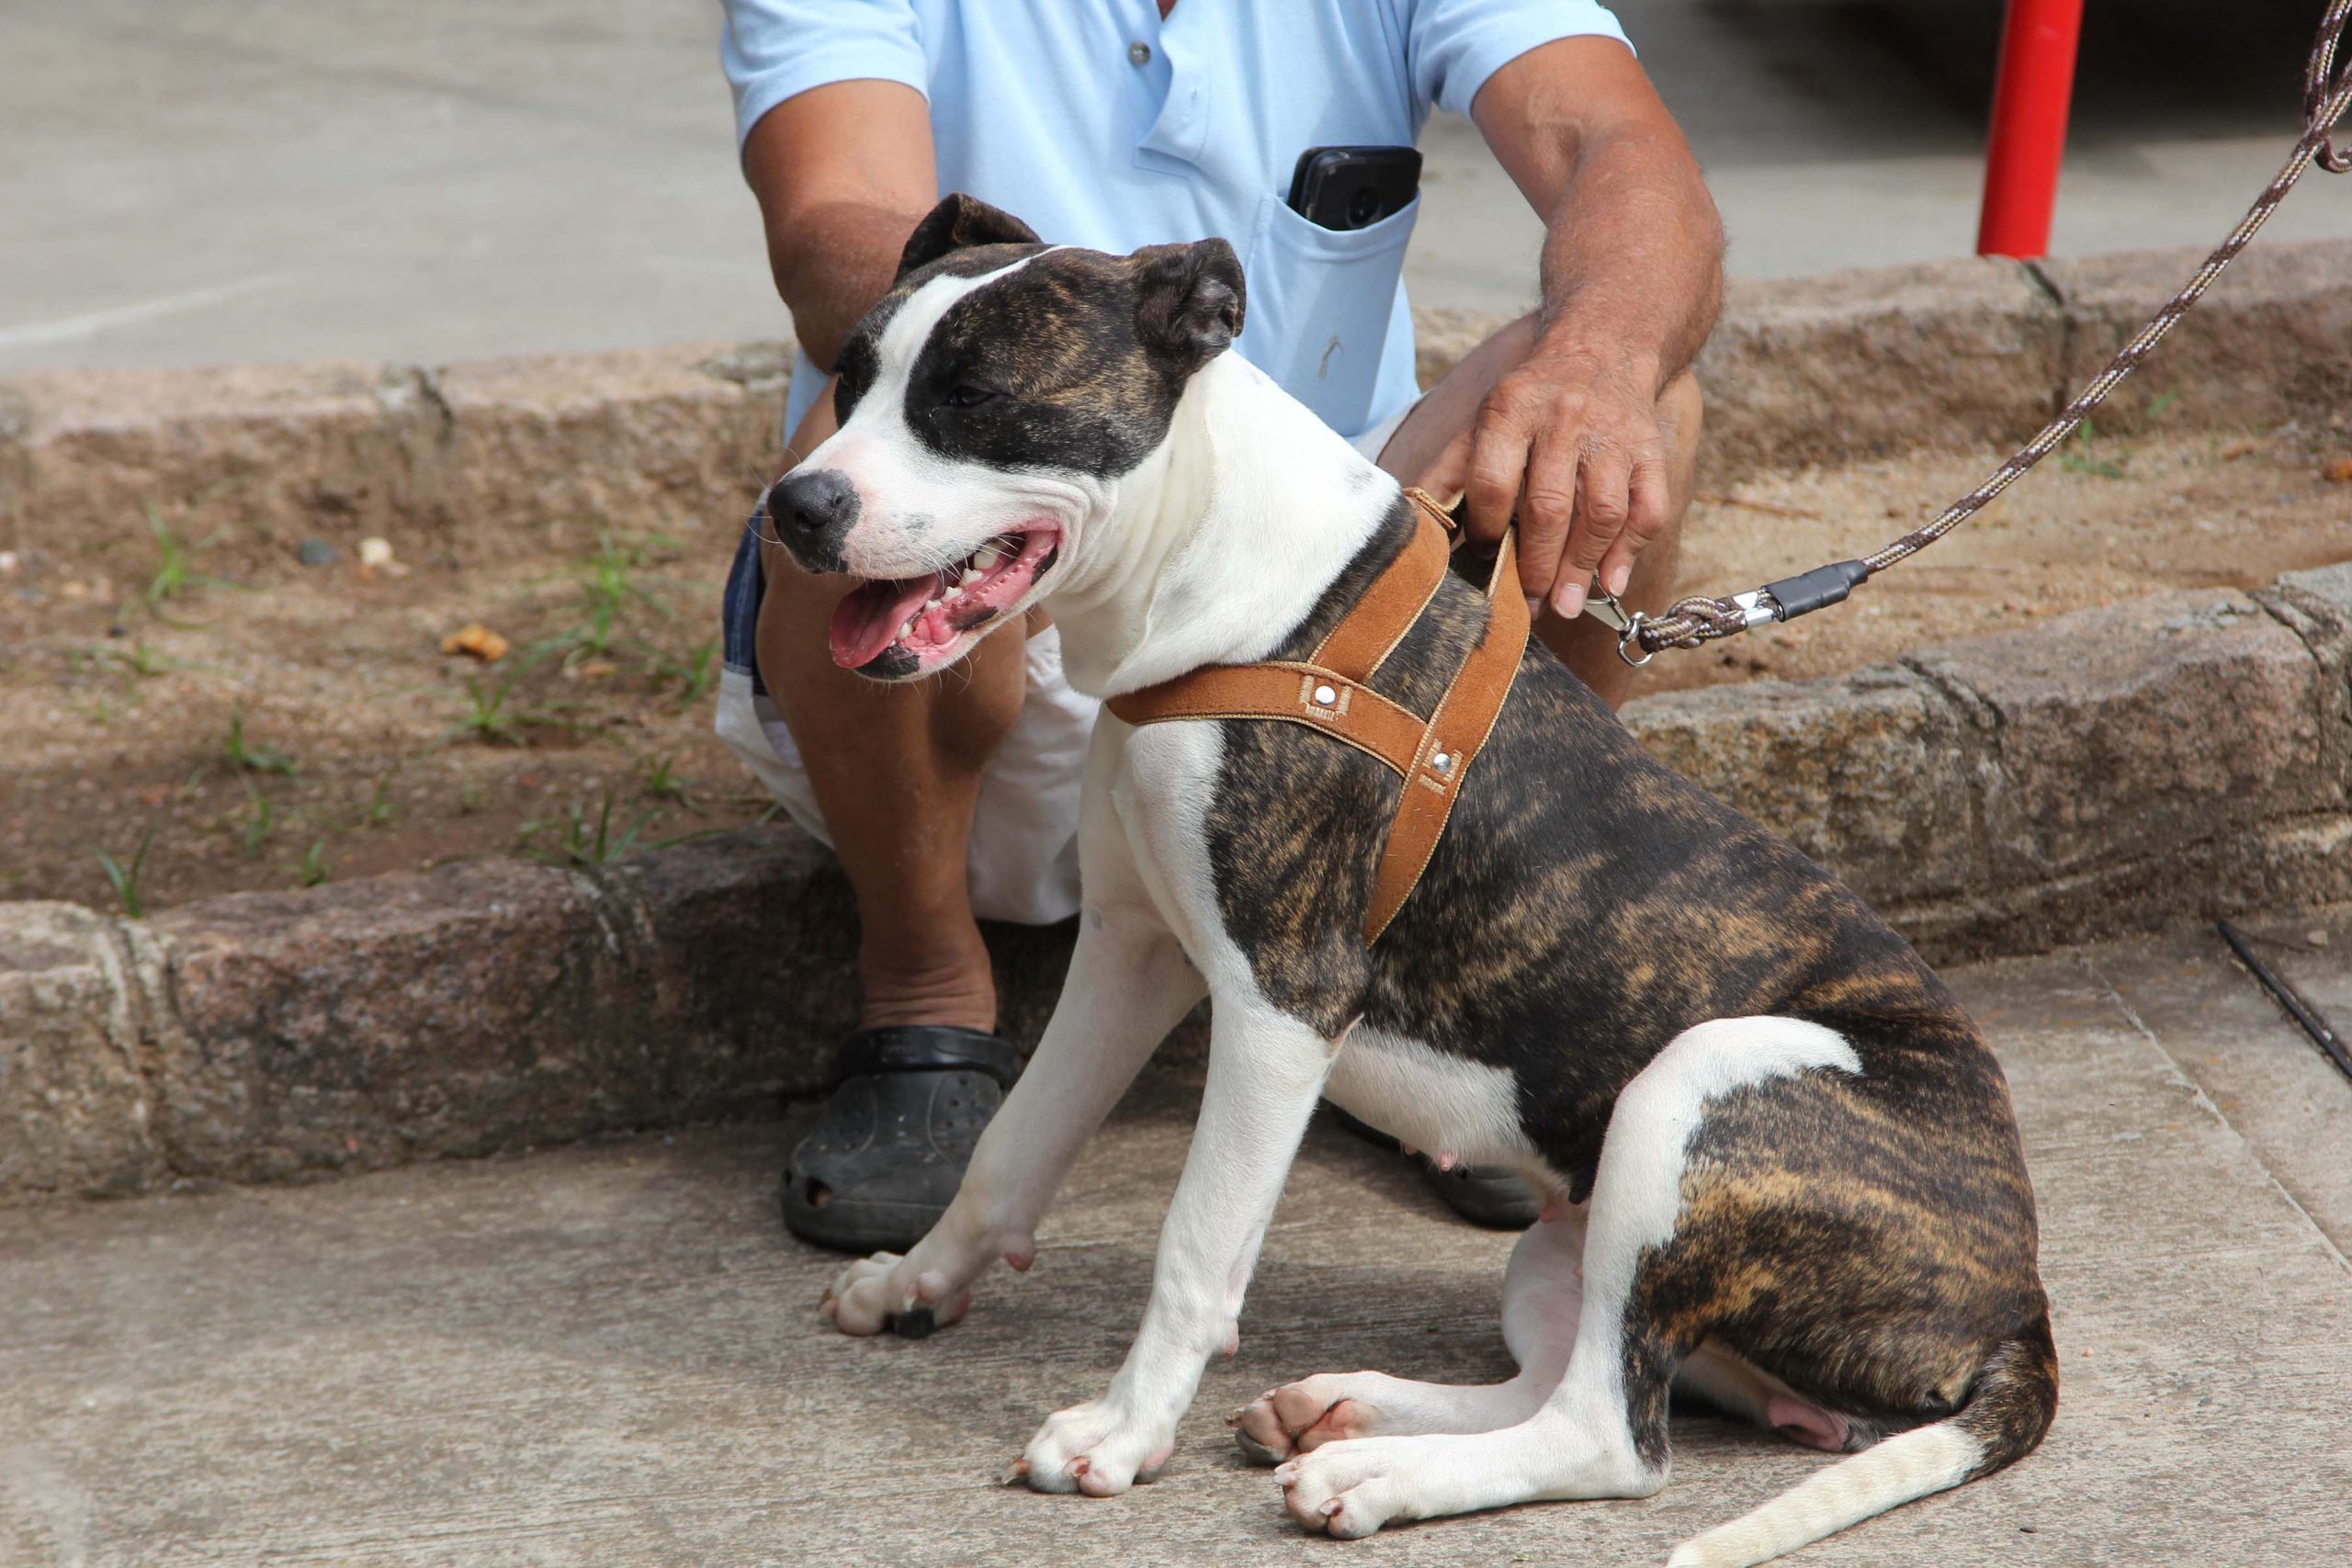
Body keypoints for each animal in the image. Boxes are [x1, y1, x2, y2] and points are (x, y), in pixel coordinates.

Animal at [775, 199, 2060, 1568]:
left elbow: (1195, 1242)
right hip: (1573, 1243)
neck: (1228, 581)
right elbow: (1010, 1145)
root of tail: (2019, 1303)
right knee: (1567, 1374)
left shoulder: (1283, 999)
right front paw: (913, 1282)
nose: (794, 506)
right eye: (850, 379)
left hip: (1697, 1083)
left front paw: (1121, 1434)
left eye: (972, 397)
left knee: (1612, 1433)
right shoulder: (1132, 948)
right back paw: (1339, 1414)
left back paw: (1377, 1474)